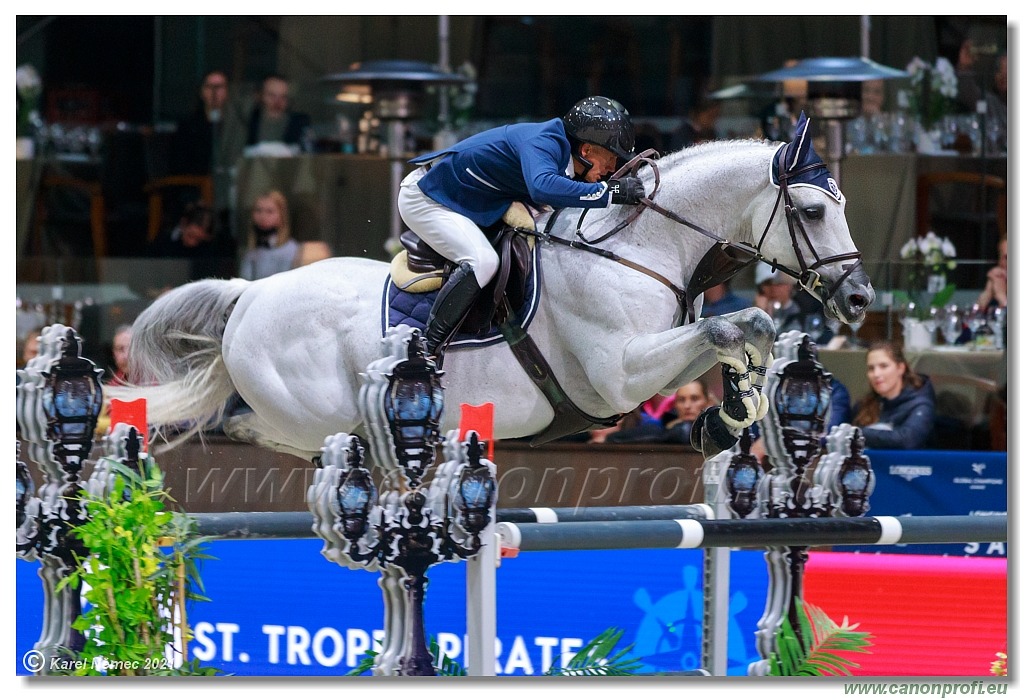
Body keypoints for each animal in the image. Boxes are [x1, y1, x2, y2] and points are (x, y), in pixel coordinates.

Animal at [117, 120, 872, 458]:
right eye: (811, 212)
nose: (860, 298)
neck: (638, 248)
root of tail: (249, 295)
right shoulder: (619, 374)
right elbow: (722, 328)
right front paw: (731, 412)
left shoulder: (650, 360)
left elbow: (749, 328)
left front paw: (729, 413)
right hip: (303, 405)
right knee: (255, 427)